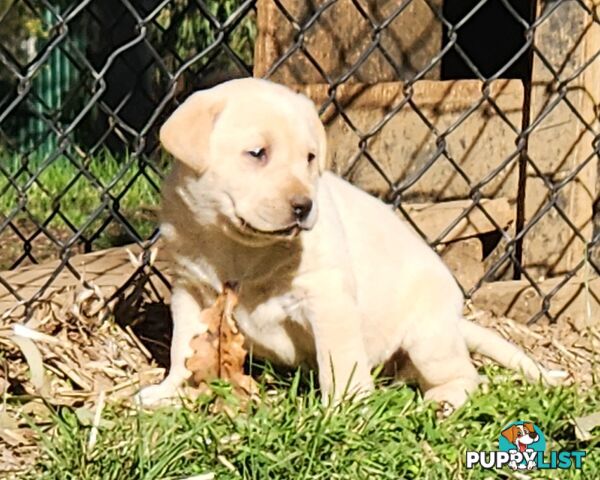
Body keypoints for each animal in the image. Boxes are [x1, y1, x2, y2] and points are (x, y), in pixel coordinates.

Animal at [138, 79, 552, 408]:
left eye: (310, 158)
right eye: (257, 153)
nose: (304, 206)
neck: (240, 248)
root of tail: (454, 321)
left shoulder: (327, 296)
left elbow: (339, 361)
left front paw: (346, 411)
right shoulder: (190, 290)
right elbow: (182, 348)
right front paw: (169, 392)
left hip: (429, 339)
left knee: (465, 375)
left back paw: (442, 402)